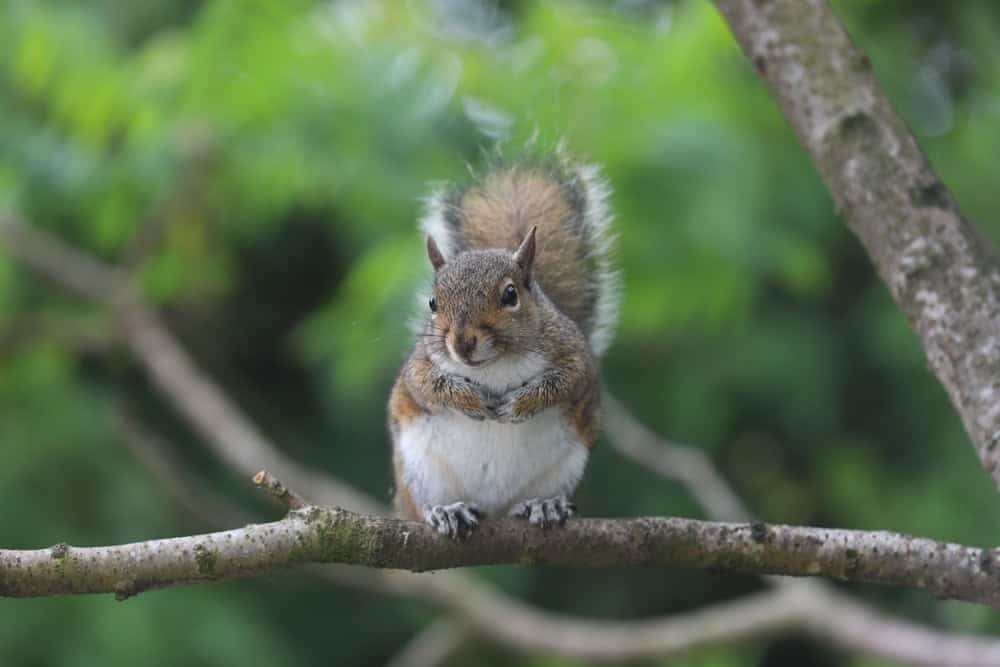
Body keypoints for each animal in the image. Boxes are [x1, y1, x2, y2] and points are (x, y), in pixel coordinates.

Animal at [388, 150, 618, 539]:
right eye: (433, 303)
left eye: (510, 295)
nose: (462, 343)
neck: (495, 365)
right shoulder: (420, 365)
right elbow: (426, 385)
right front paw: (469, 399)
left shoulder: (573, 355)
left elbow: (566, 381)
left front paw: (520, 404)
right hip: (419, 472)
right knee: (425, 505)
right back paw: (446, 511)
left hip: (566, 468)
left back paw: (545, 504)